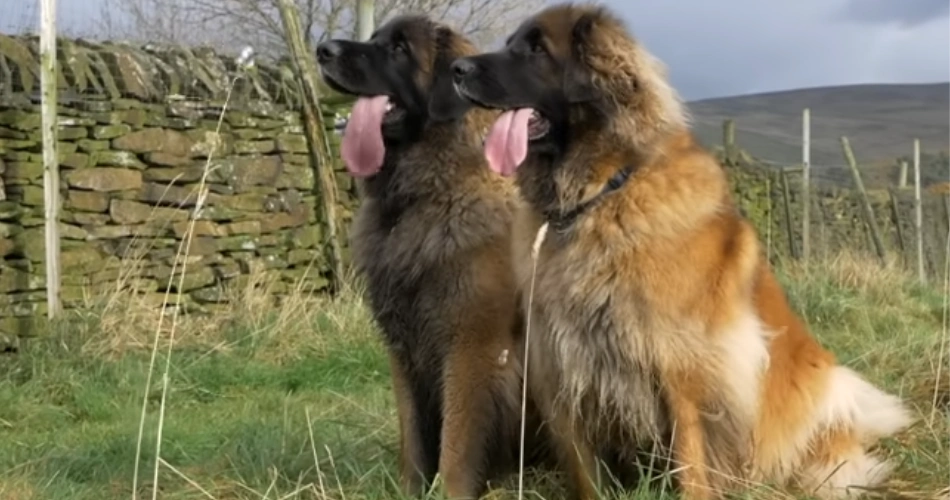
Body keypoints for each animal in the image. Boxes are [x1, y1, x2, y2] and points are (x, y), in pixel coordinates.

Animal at [316, 13, 552, 498]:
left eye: (399, 49)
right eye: (373, 40)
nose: (323, 50)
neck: (423, 198)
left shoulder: (472, 349)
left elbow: (455, 447)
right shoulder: (403, 349)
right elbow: (414, 440)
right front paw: (411, 489)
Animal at [454, 3, 916, 500]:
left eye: (536, 49)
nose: (456, 68)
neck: (603, 194)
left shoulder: (681, 369)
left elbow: (690, 459)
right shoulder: (562, 363)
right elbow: (584, 469)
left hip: (820, 404)